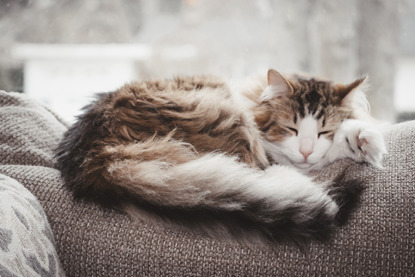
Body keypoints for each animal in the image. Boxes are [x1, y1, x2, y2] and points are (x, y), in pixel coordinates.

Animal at [54, 68, 386, 242]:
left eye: (322, 131)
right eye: (290, 128)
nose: (306, 150)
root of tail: (93, 157)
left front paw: (362, 139)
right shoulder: (271, 150)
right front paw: (361, 140)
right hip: (227, 119)